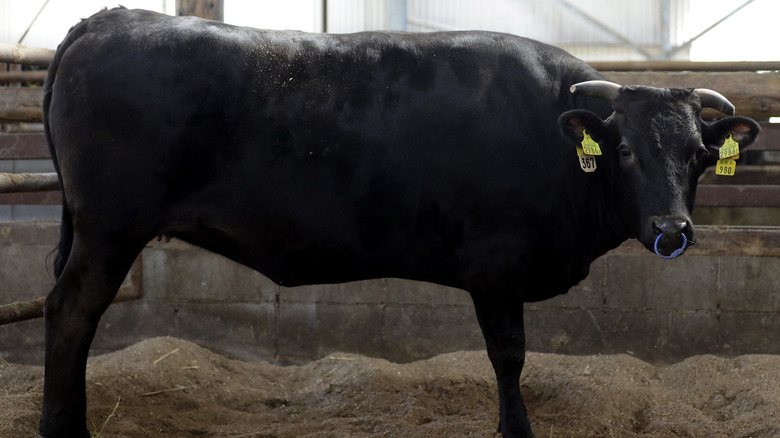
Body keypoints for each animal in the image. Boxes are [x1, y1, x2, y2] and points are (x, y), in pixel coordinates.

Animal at [38, 7, 760, 438]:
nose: (672, 230)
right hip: (109, 229)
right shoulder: (495, 264)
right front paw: (516, 430)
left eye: (699, 155)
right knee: (70, 313)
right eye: (627, 150)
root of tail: (112, 18)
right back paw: (63, 427)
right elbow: (509, 355)